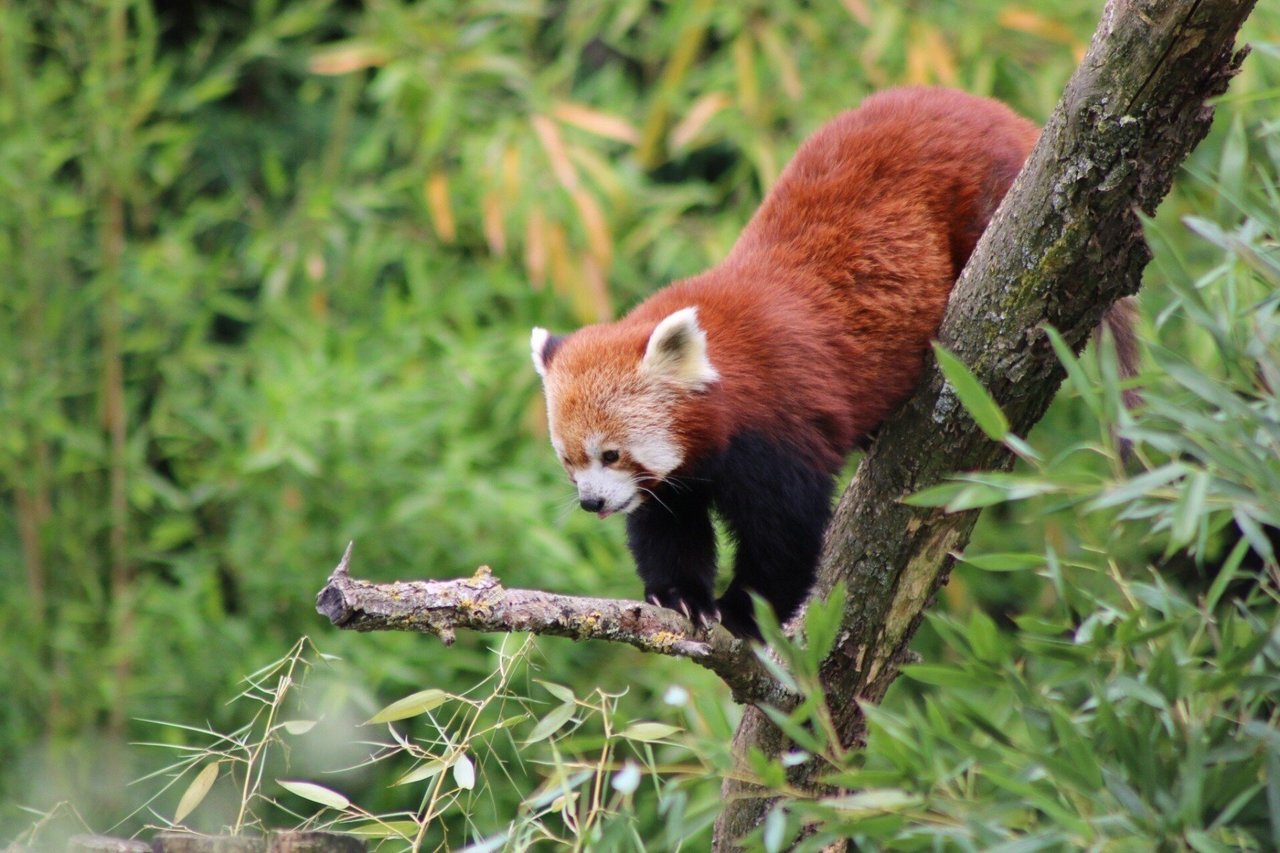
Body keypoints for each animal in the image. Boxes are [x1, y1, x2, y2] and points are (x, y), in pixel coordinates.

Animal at [529, 87, 1049, 637]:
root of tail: (994, 110)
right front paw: (680, 595)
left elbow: (784, 531)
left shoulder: (778, 419)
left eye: (611, 454)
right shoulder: (682, 473)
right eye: (569, 461)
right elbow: (669, 523)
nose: (592, 501)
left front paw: (745, 611)